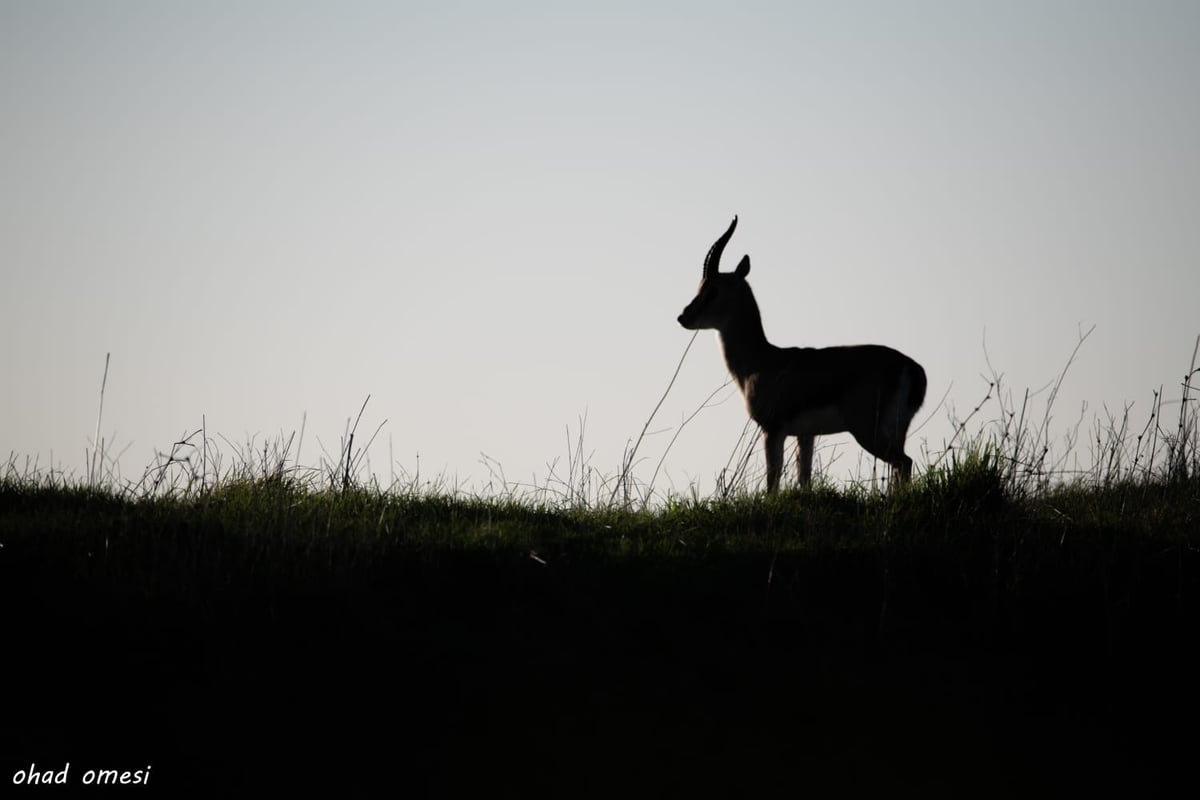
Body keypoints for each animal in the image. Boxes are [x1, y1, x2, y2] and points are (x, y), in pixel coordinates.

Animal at [676, 219, 926, 494]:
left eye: (713, 290)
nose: (683, 316)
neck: (761, 362)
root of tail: (913, 369)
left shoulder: (773, 430)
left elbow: (772, 482)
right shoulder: (806, 435)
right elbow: (804, 478)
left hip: (867, 430)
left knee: (904, 462)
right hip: (896, 431)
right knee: (901, 465)